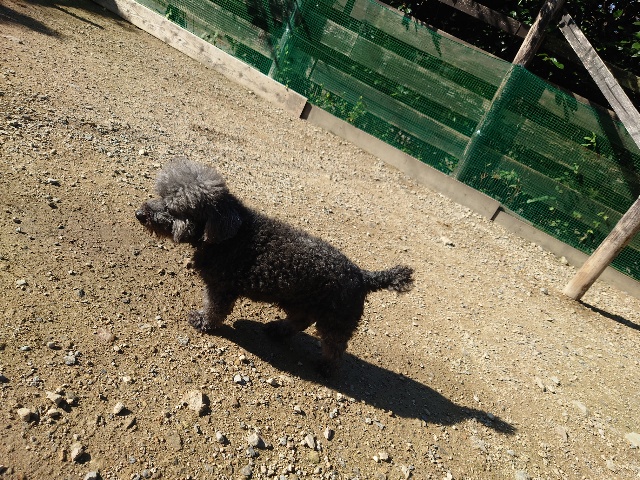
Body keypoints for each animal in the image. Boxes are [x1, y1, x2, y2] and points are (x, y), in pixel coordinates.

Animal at [135, 158, 414, 374]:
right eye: (161, 195)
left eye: (174, 208)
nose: (140, 214)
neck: (228, 234)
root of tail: (363, 275)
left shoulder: (221, 288)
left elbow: (214, 309)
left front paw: (203, 321)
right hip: (298, 300)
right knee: (300, 321)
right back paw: (278, 329)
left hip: (335, 320)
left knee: (335, 347)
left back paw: (326, 367)